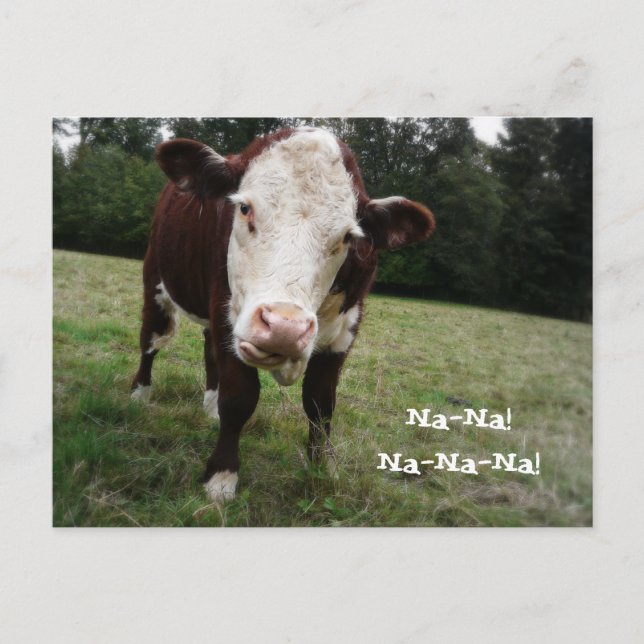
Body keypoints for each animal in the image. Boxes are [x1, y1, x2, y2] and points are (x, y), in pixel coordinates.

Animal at [130, 127, 435, 502]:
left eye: (347, 236)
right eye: (244, 208)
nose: (284, 328)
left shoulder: (344, 333)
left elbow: (321, 405)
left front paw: (323, 468)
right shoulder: (227, 313)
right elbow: (239, 398)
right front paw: (221, 476)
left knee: (208, 352)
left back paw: (209, 407)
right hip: (156, 280)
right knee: (151, 341)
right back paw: (139, 395)